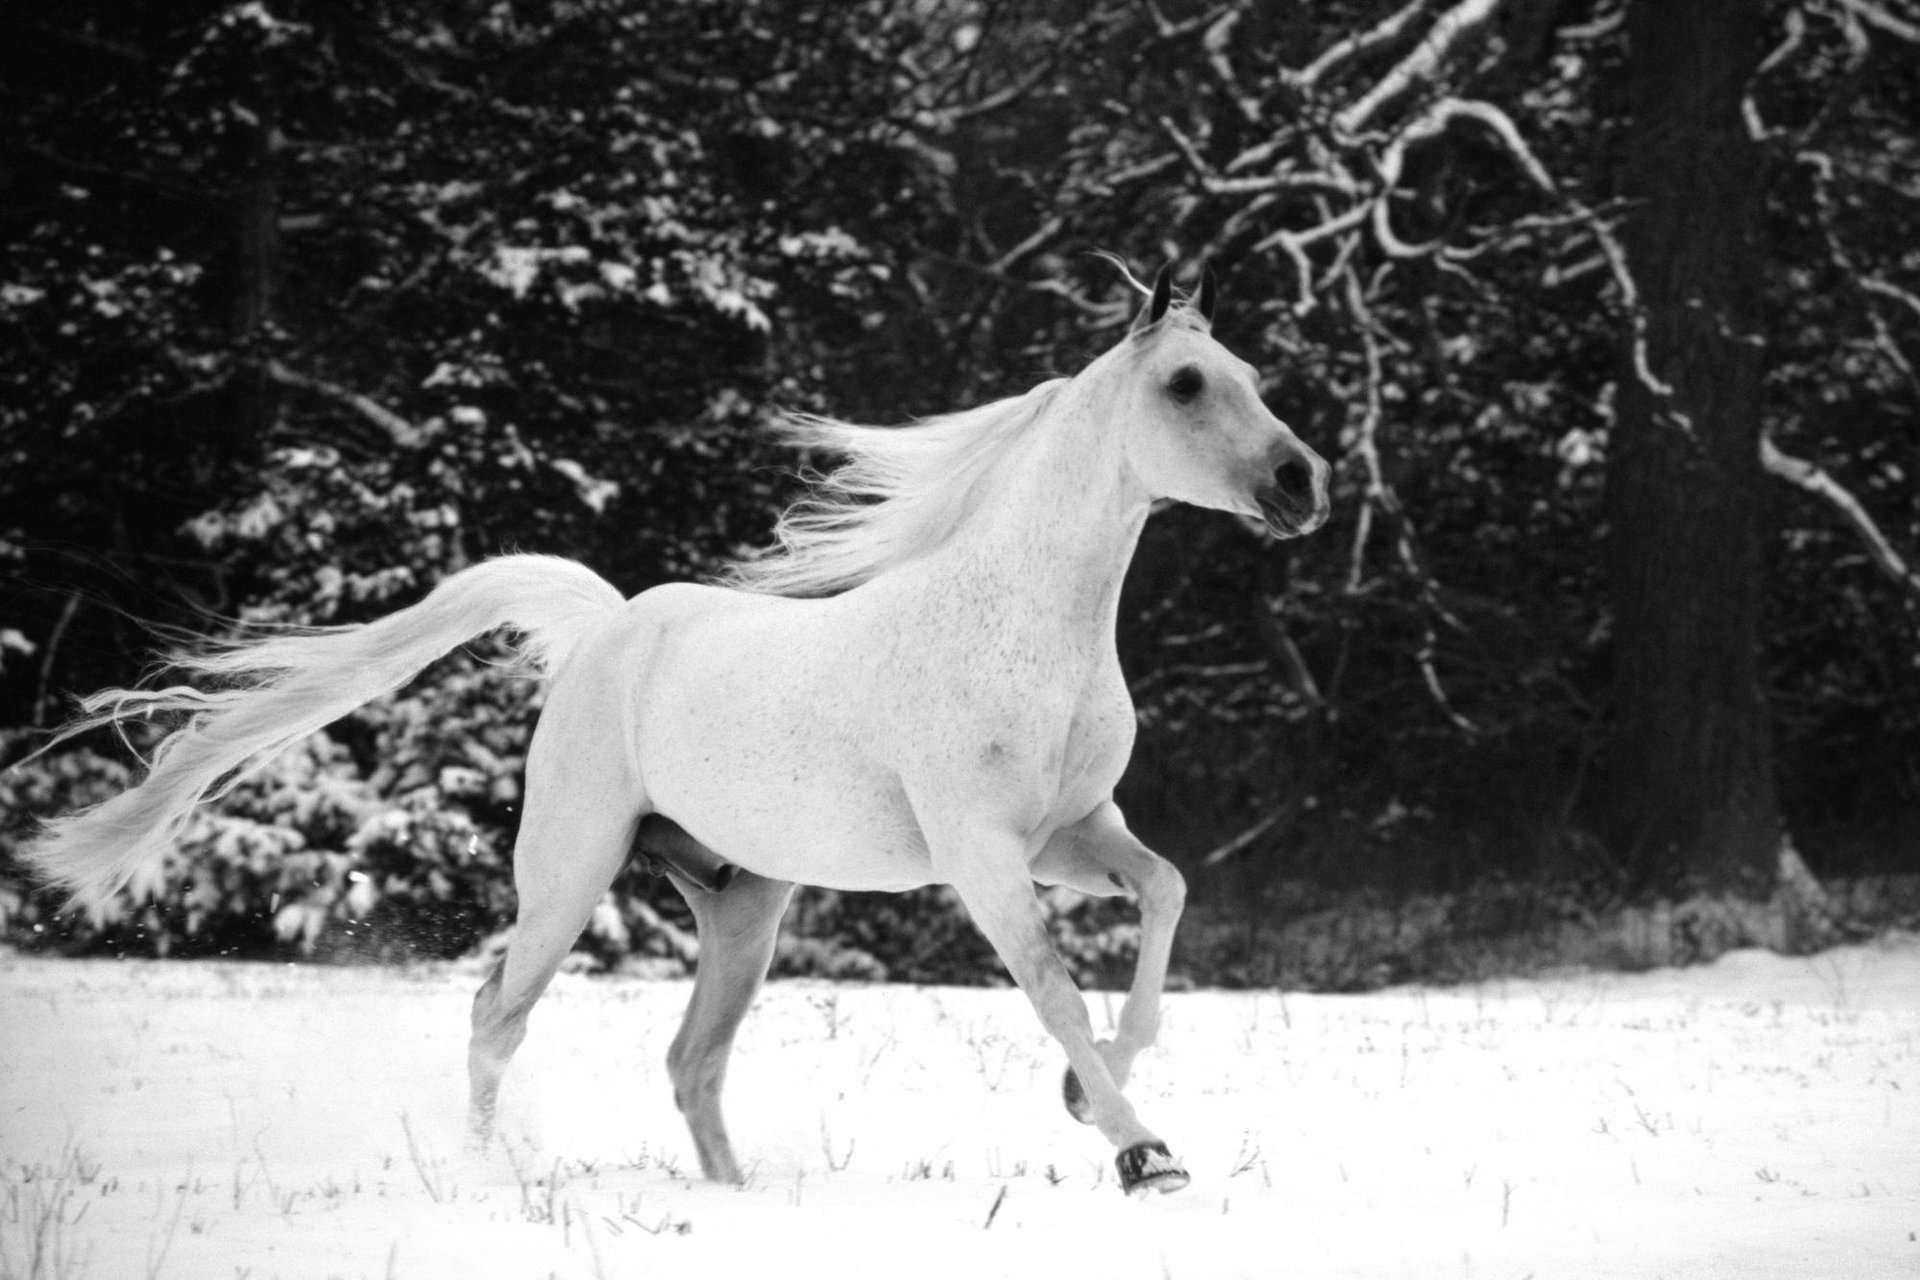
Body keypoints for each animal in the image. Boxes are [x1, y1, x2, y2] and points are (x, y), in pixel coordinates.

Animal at [21, 265, 1330, 1196]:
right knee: (498, 1013)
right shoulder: (984, 854)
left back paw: (736, 1196)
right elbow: (1054, 985)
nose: (1301, 482)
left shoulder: (1076, 830)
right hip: (569, 870)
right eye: (1185, 384)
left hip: (745, 905)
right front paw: (1142, 1151)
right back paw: (492, 1174)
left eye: (1253, 371)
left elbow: (1164, 897)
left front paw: (1080, 1092)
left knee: (689, 1059)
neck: (1020, 623)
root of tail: (607, 626)